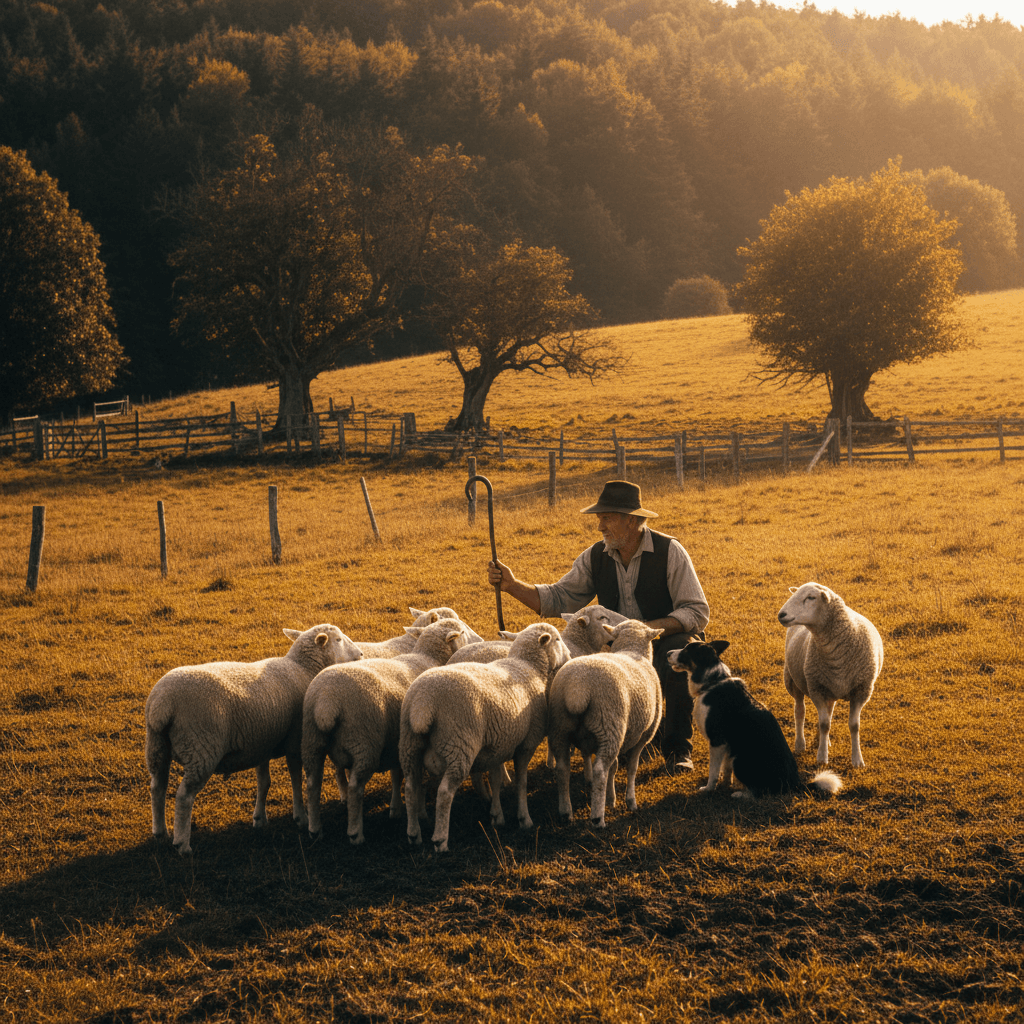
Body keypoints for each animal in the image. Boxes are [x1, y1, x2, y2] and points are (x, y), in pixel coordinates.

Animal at [145, 624, 362, 855]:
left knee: (157, 786)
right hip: (201, 748)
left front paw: (259, 819)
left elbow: (263, 782)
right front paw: (300, 817)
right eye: (338, 640)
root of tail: (162, 704)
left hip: (157, 747)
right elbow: (295, 777)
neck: (302, 669)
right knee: (184, 796)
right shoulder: (294, 738)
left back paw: (160, 832)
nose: (360, 654)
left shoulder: (261, 743)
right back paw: (182, 844)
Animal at [302, 620, 469, 844]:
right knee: (355, 787)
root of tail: (326, 701)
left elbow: (398, 776)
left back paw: (314, 830)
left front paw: (396, 809)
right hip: (363, 742)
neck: (429, 658)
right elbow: (417, 782)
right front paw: (421, 813)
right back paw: (356, 833)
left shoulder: (398, 743)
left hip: (312, 740)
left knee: (313, 783)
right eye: (462, 632)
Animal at [400, 622, 571, 853]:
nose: (570, 656)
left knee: (410, 787)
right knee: (444, 793)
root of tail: (422, 705)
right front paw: (524, 819)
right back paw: (440, 840)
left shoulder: (498, 745)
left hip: (409, 745)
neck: (527, 666)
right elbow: (522, 782)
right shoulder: (526, 744)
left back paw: (413, 834)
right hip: (458, 746)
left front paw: (497, 816)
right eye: (558, 639)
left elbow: (496, 779)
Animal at [547, 620, 664, 827]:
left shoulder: (623, 735)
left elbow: (614, 767)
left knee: (562, 769)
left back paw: (566, 812)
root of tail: (577, 689)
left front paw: (611, 799)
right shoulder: (643, 735)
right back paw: (597, 818)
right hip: (608, 724)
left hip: (561, 726)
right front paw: (630, 801)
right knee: (600, 770)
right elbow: (631, 768)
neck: (632, 650)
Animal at [777, 582, 884, 767]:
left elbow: (853, 725)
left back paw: (824, 740)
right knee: (800, 711)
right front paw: (822, 757)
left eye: (811, 597)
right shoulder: (816, 688)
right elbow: (824, 723)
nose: (781, 615)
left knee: (828, 711)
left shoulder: (861, 691)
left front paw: (857, 759)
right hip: (793, 681)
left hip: (830, 687)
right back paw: (800, 744)